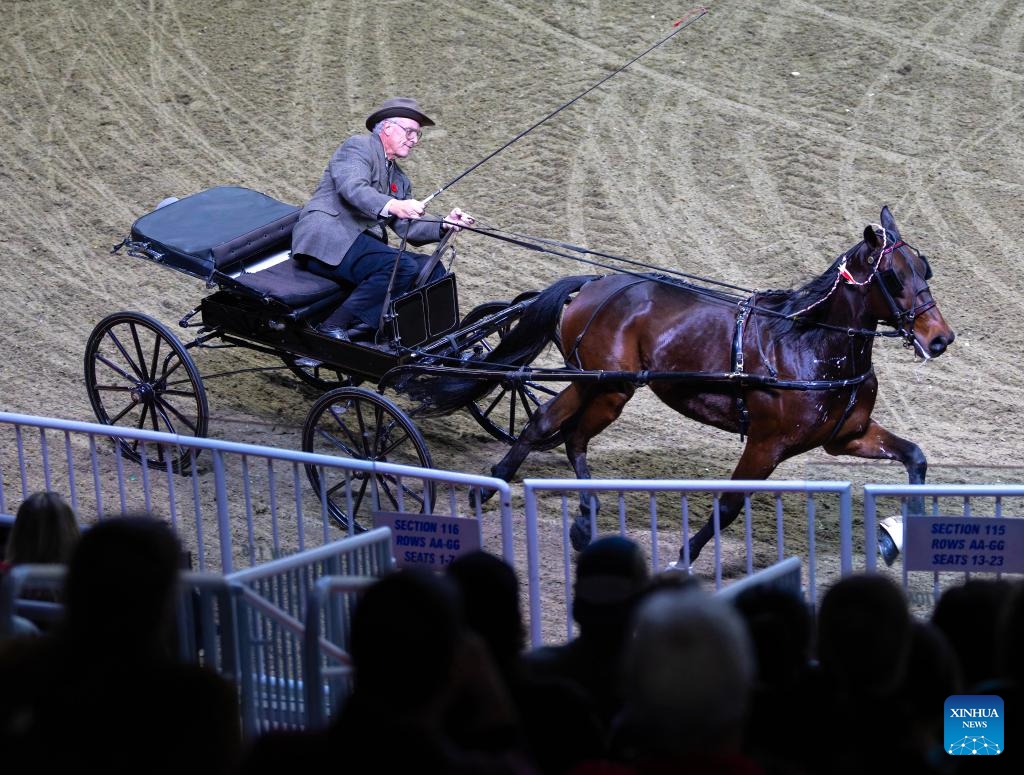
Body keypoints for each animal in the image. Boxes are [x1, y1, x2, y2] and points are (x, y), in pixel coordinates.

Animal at [405, 206, 955, 565]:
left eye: (925, 268)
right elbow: (728, 506)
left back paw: (546, 504)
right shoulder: (765, 444)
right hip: (608, 388)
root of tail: (594, 284)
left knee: (554, 427)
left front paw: (895, 538)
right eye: (894, 277)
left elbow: (915, 457)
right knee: (563, 431)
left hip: (596, 385)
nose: (940, 338)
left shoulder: (848, 436)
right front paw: (683, 559)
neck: (810, 344)